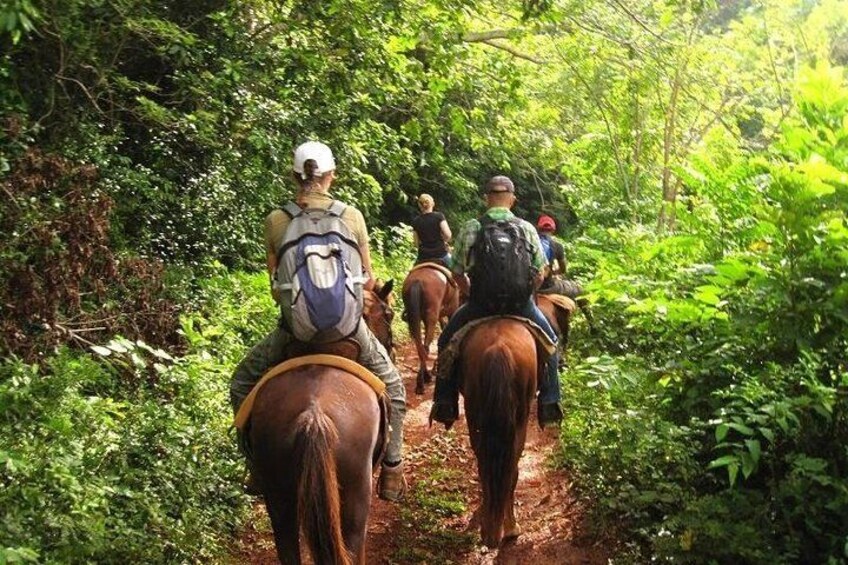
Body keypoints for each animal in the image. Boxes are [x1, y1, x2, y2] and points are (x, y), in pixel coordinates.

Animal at [248, 280, 398, 560]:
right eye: (390, 314)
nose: (391, 352)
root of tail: (313, 415)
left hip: (278, 496)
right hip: (354, 499)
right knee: (353, 546)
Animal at [402, 264, 460, 392]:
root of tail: (417, 280)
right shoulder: (452, 311)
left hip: (415, 317)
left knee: (420, 346)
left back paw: (423, 379)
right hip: (431, 317)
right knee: (426, 346)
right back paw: (424, 380)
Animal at [458, 318, 536, 548]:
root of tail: (499, 348)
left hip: (476, 417)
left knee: (488, 466)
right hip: (518, 421)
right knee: (509, 469)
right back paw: (509, 528)